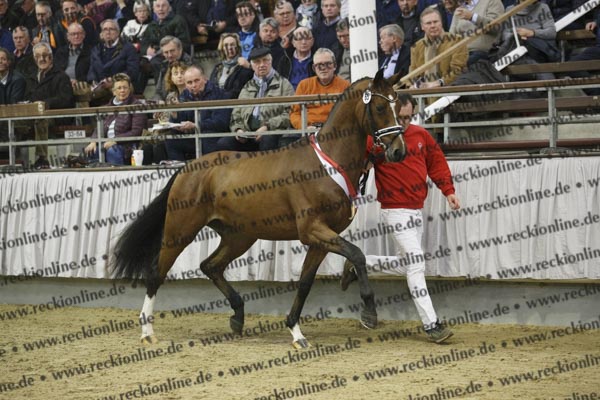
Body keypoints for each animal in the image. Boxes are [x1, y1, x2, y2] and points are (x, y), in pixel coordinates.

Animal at [111, 69, 406, 349]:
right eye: (381, 107)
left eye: (398, 104)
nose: (398, 152)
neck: (328, 165)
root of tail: (187, 168)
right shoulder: (312, 230)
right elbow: (357, 255)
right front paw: (369, 313)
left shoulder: (321, 238)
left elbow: (305, 283)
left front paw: (296, 332)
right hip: (180, 230)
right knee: (156, 274)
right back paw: (147, 332)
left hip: (239, 236)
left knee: (210, 266)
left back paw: (238, 317)